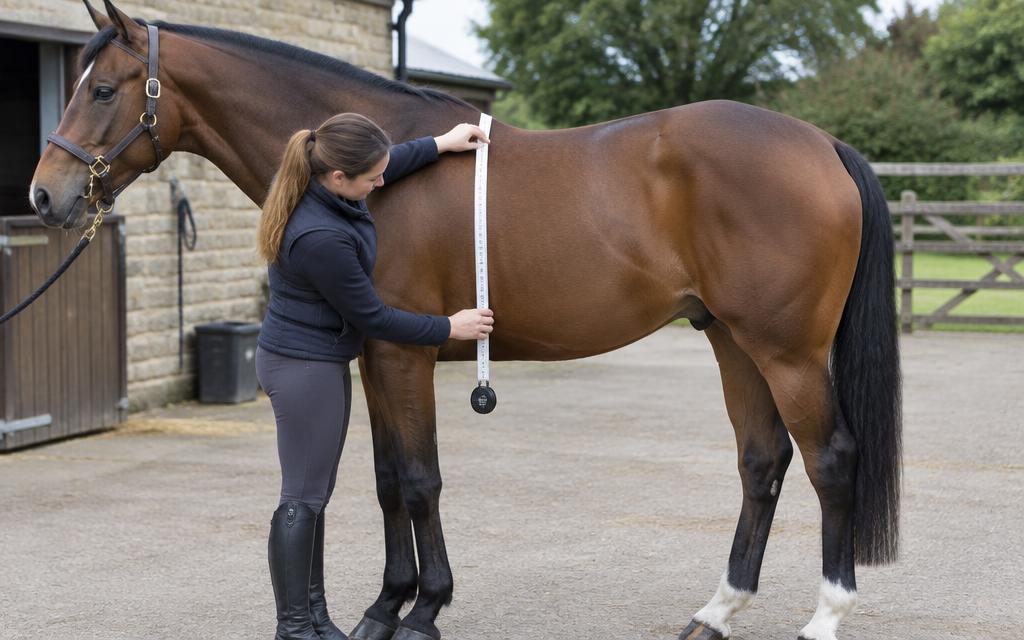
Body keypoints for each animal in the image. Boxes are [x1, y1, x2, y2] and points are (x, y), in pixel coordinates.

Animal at [29, 3, 902, 639]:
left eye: (102, 89)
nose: (44, 195)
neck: (375, 172)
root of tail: (821, 144)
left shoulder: (404, 357)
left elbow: (421, 479)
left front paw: (424, 610)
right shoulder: (376, 353)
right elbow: (387, 479)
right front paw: (384, 606)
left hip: (786, 351)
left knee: (830, 459)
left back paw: (824, 617)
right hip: (730, 339)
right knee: (762, 461)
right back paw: (716, 611)